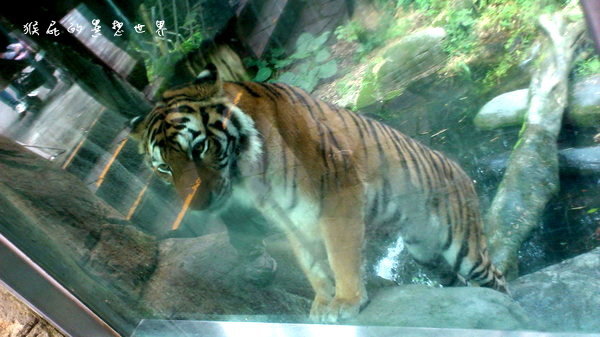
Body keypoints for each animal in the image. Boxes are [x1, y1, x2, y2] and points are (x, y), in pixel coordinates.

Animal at [130, 63, 506, 322]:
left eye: (199, 148)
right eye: (164, 168)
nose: (199, 205)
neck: (249, 175)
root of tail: (456, 165)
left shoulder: (338, 193)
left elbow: (340, 254)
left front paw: (346, 301)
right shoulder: (289, 215)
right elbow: (310, 263)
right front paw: (323, 303)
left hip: (461, 245)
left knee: (496, 277)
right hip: (424, 250)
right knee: (454, 280)